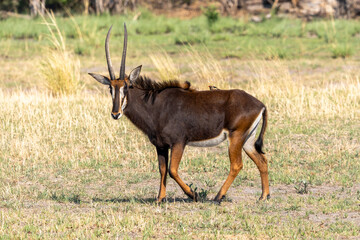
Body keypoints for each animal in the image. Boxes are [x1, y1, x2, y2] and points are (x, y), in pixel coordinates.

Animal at [89, 23, 270, 202]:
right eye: (110, 88)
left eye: (126, 87)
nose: (115, 113)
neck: (155, 105)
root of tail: (260, 104)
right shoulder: (161, 146)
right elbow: (162, 170)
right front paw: (160, 199)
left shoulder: (178, 143)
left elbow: (172, 170)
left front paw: (194, 195)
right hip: (247, 139)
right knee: (262, 160)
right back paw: (264, 196)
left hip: (236, 137)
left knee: (236, 165)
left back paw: (218, 197)